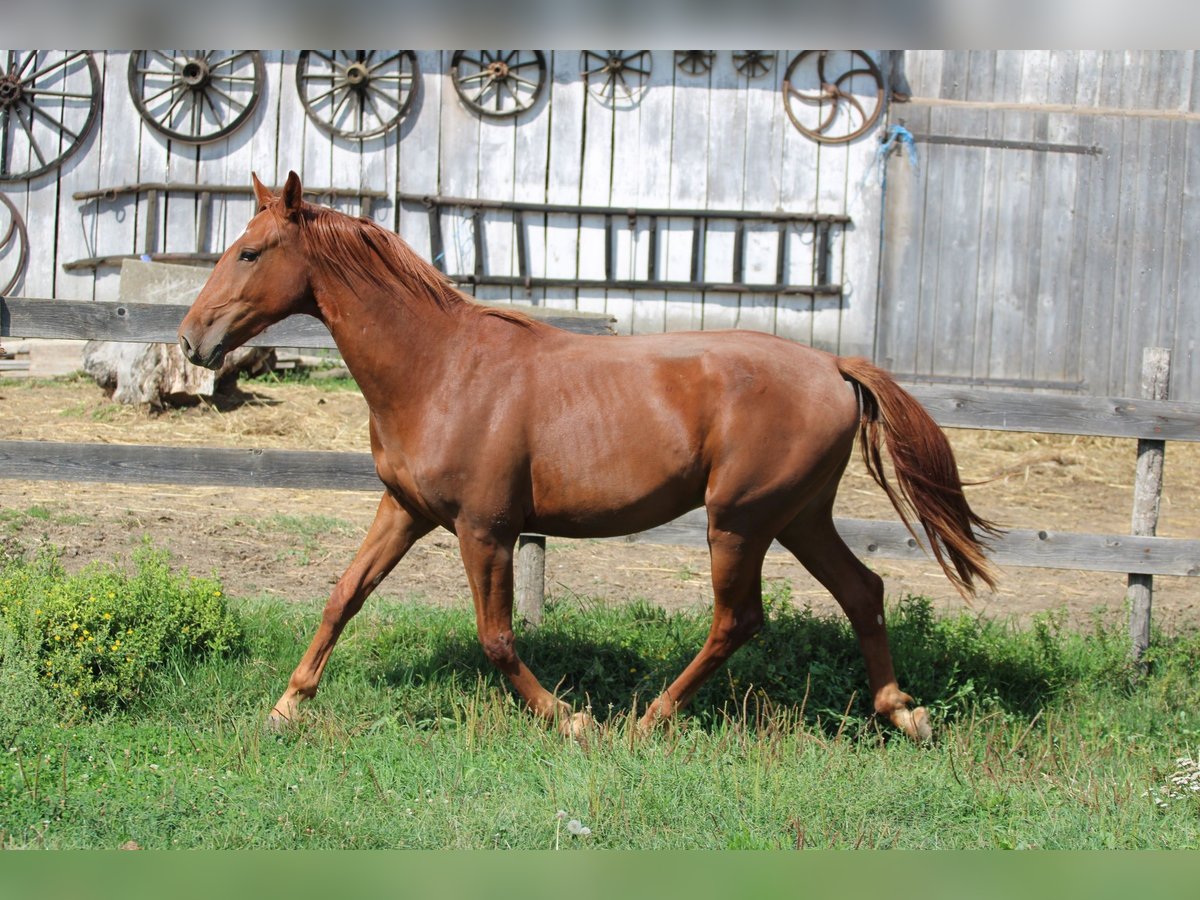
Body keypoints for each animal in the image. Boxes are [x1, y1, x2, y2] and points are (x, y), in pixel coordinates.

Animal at [177, 172, 998, 744]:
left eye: (250, 252)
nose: (190, 341)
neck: (441, 369)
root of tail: (833, 366)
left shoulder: (486, 529)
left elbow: (497, 639)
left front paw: (571, 719)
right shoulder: (405, 510)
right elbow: (344, 595)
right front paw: (286, 705)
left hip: (739, 522)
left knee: (738, 621)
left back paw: (649, 719)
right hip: (798, 517)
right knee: (863, 591)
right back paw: (903, 712)